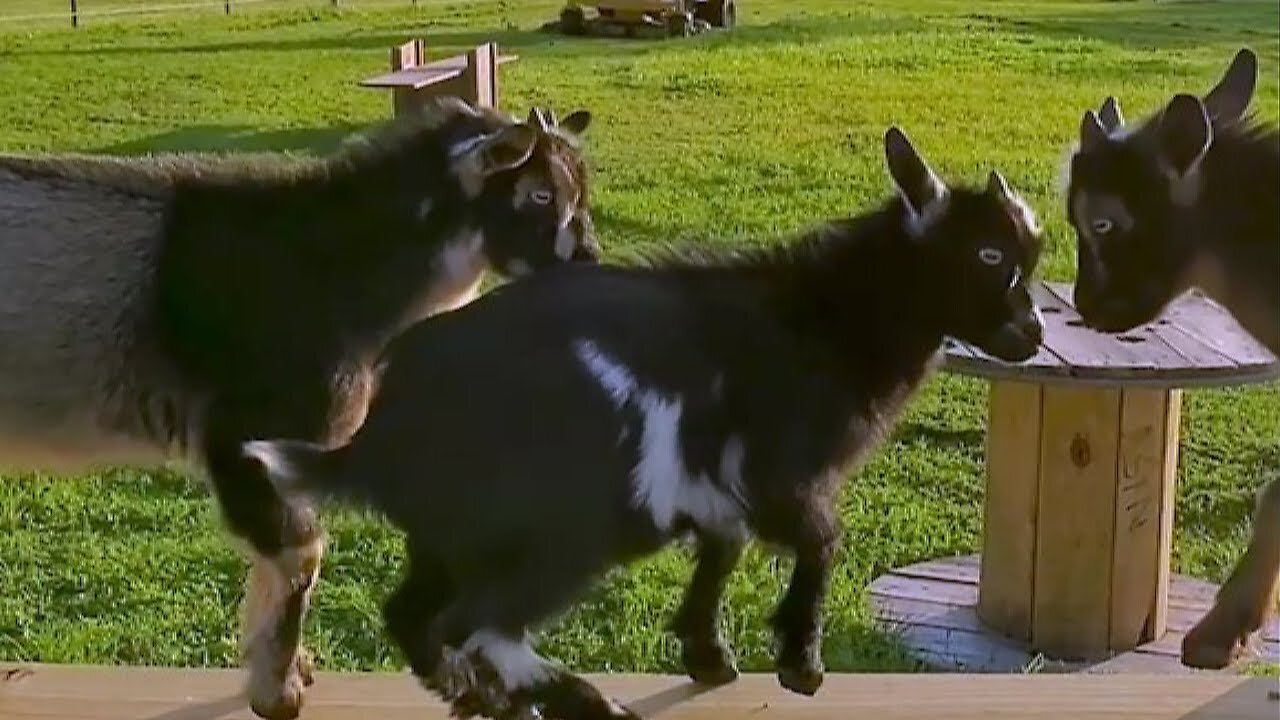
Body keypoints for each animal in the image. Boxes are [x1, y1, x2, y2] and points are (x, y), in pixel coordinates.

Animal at [0, 96, 596, 717]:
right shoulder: (246, 437)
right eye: (539, 194)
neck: (328, 275)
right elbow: (302, 554)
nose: (588, 260)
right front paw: (276, 690)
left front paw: (291, 669)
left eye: (581, 193)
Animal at [244, 127, 1044, 717]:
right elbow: (821, 542)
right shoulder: (781, 475)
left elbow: (722, 548)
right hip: (563, 528)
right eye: (990, 253)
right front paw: (800, 663)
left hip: (450, 538)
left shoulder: (712, 479)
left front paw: (708, 655)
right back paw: (580, 700)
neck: (822, 320)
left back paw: (484, 699)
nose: (1032, 333)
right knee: (477, 625)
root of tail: (380, 434)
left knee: (416, 618)